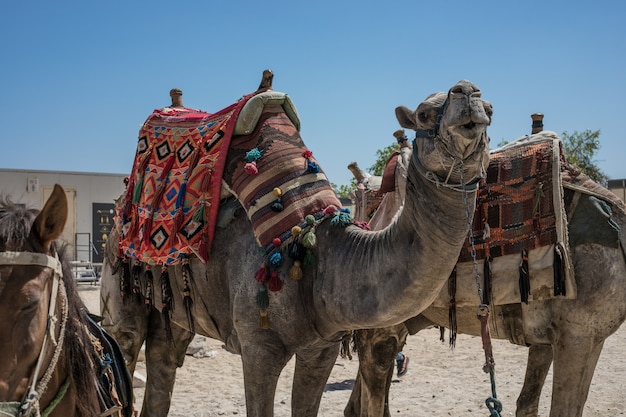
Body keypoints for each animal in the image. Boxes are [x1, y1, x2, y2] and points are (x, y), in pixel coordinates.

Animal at [100, 75, 490, 416]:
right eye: (423, 114)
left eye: (490, 107)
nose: (469, 93)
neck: (317, 254)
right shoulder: (257, 347)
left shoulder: (322, 348)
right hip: (118, 282)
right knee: (126, 339)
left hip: (174, 311)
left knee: (164, 362)